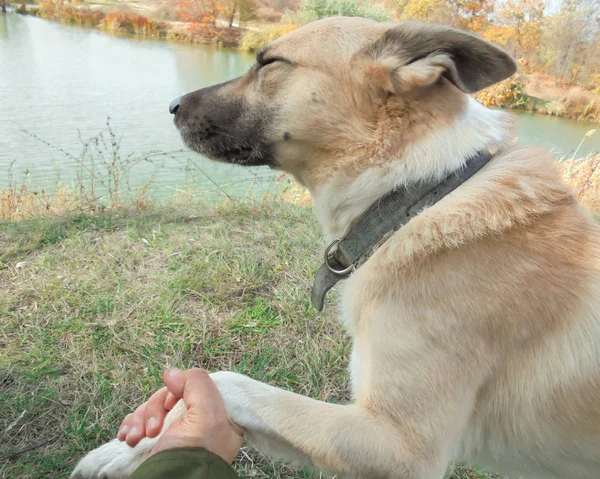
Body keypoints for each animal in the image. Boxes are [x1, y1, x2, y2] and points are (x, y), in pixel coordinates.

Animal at [71, 16, 600, 478]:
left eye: (269, 63)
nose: (172, 105)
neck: (415, 194)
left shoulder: (399, 446)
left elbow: (228, 384)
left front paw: (145, 436)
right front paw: (122, 452)